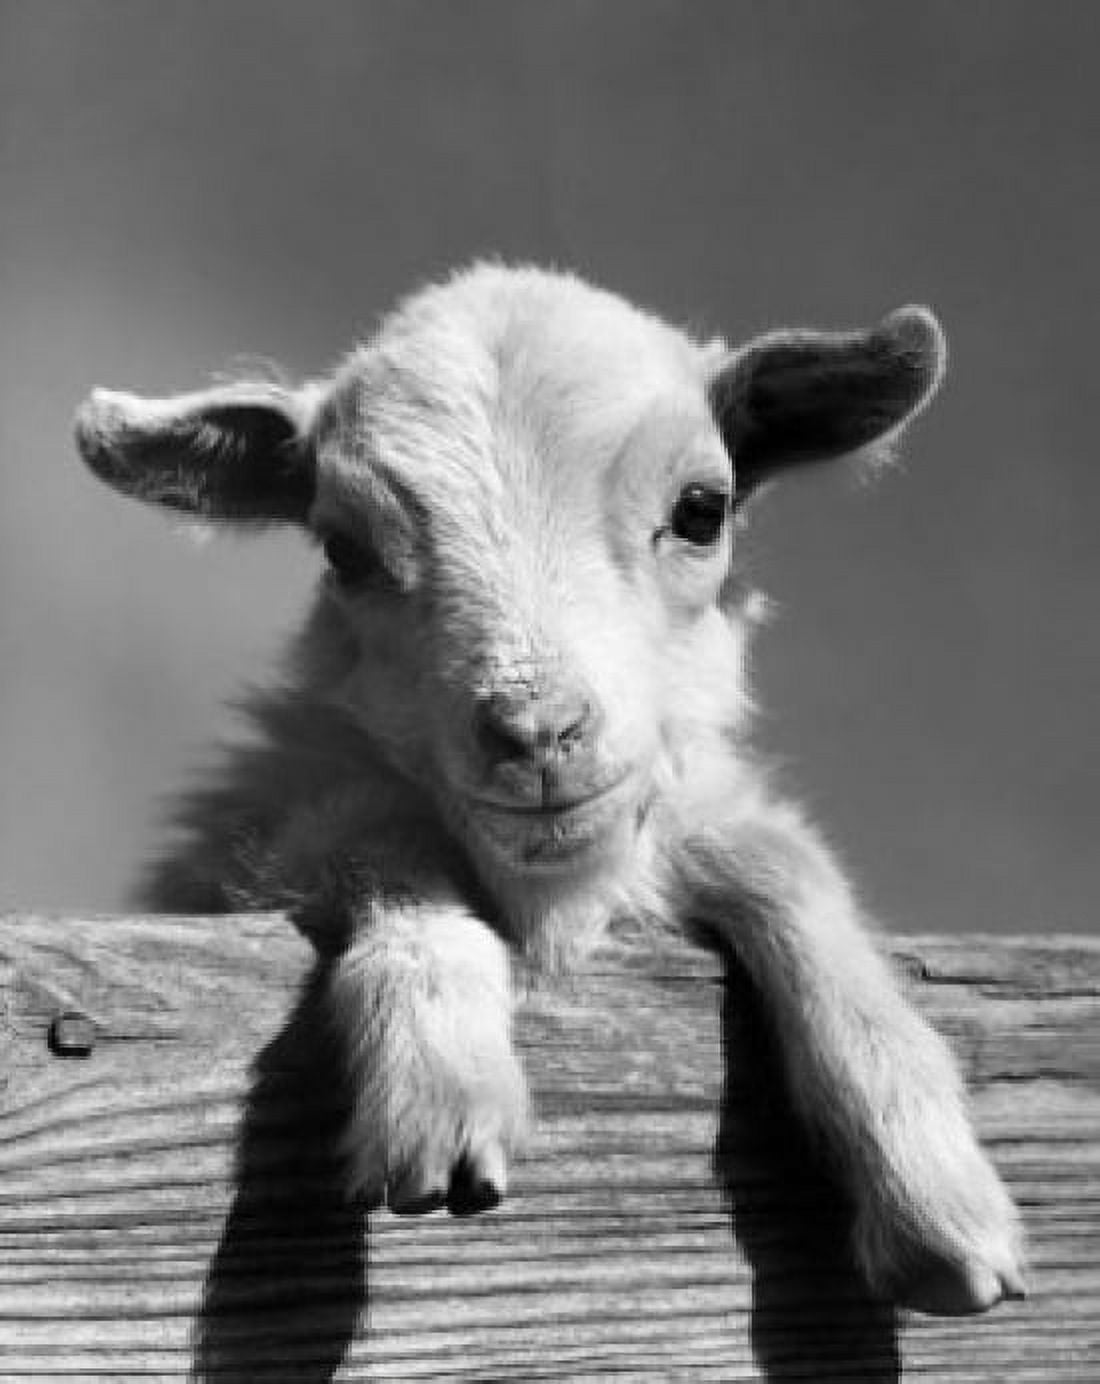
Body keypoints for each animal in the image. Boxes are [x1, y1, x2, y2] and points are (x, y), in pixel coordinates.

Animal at [75, 262, 1024, 1316]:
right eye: (343, 550)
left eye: (703, 510)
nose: (536, 732)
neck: (556, 907)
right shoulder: (286, 827)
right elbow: (379, 844)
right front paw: (445, 1093)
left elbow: (781, 862)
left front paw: (939, 1201)